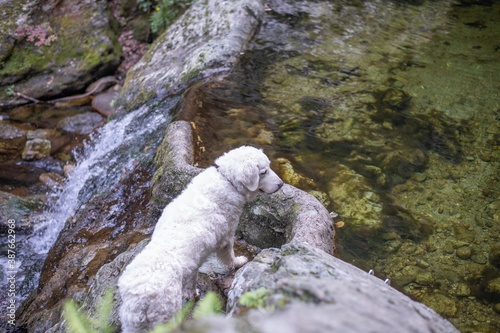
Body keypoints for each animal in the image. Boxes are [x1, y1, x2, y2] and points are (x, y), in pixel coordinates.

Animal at [116, 145, 282, 332]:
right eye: (263, 172)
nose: (281, 184)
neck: (227, 180)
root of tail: (139, 299)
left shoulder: (193, 266)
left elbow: (191, 281)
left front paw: (193, 294)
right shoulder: (226, 237)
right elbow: (229, 257)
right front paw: (238, 262)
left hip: (131, 323)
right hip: (166, 315)